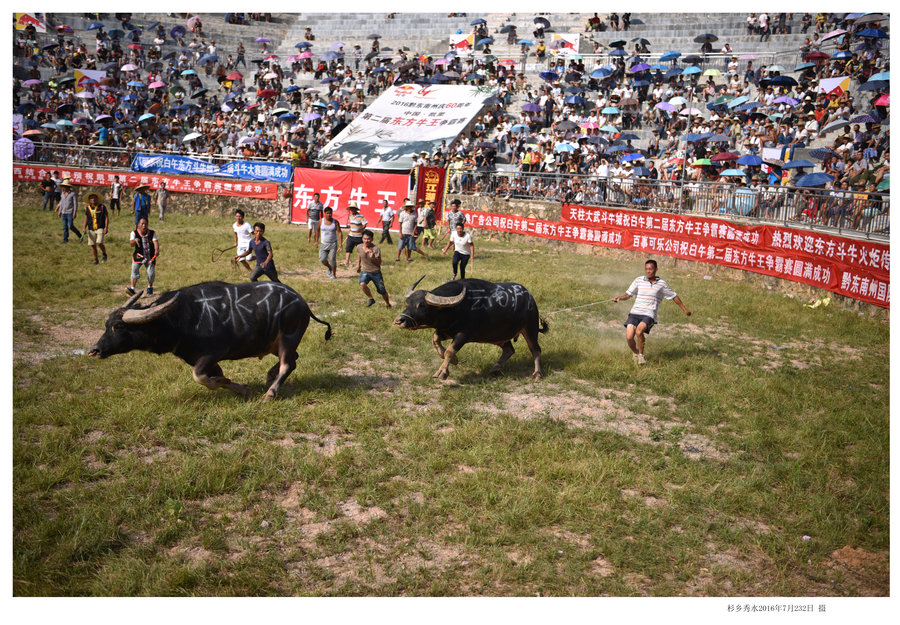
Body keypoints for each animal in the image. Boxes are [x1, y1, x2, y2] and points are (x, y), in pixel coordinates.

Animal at [88, 280, 332, 398]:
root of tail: (302, 303)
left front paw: (224, 383)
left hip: (287, 339)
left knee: (287, 364)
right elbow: (215, 376)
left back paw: (271, 392)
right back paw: (269, 379)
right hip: (276, 343)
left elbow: (199, 376)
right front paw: (243, 389)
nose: (95, 350)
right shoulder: (200, 359)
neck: (181, 318)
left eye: (119, 326)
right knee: (293, 360)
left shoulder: (211, 354)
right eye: (106, 323)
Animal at [394, 276, 548, 380]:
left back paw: (537, 373)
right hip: (498, 336)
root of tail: (530, 297)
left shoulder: (463, 335)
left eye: (421, 305)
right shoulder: (447, 330)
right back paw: (495, 368)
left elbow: (450, 350)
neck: (456, 308)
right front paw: (453, 359)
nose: (399, 321)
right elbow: (435, 339)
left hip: (530, 328)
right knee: (509, 349)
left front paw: (443, 371)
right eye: (408, 302)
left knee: (535, 349)